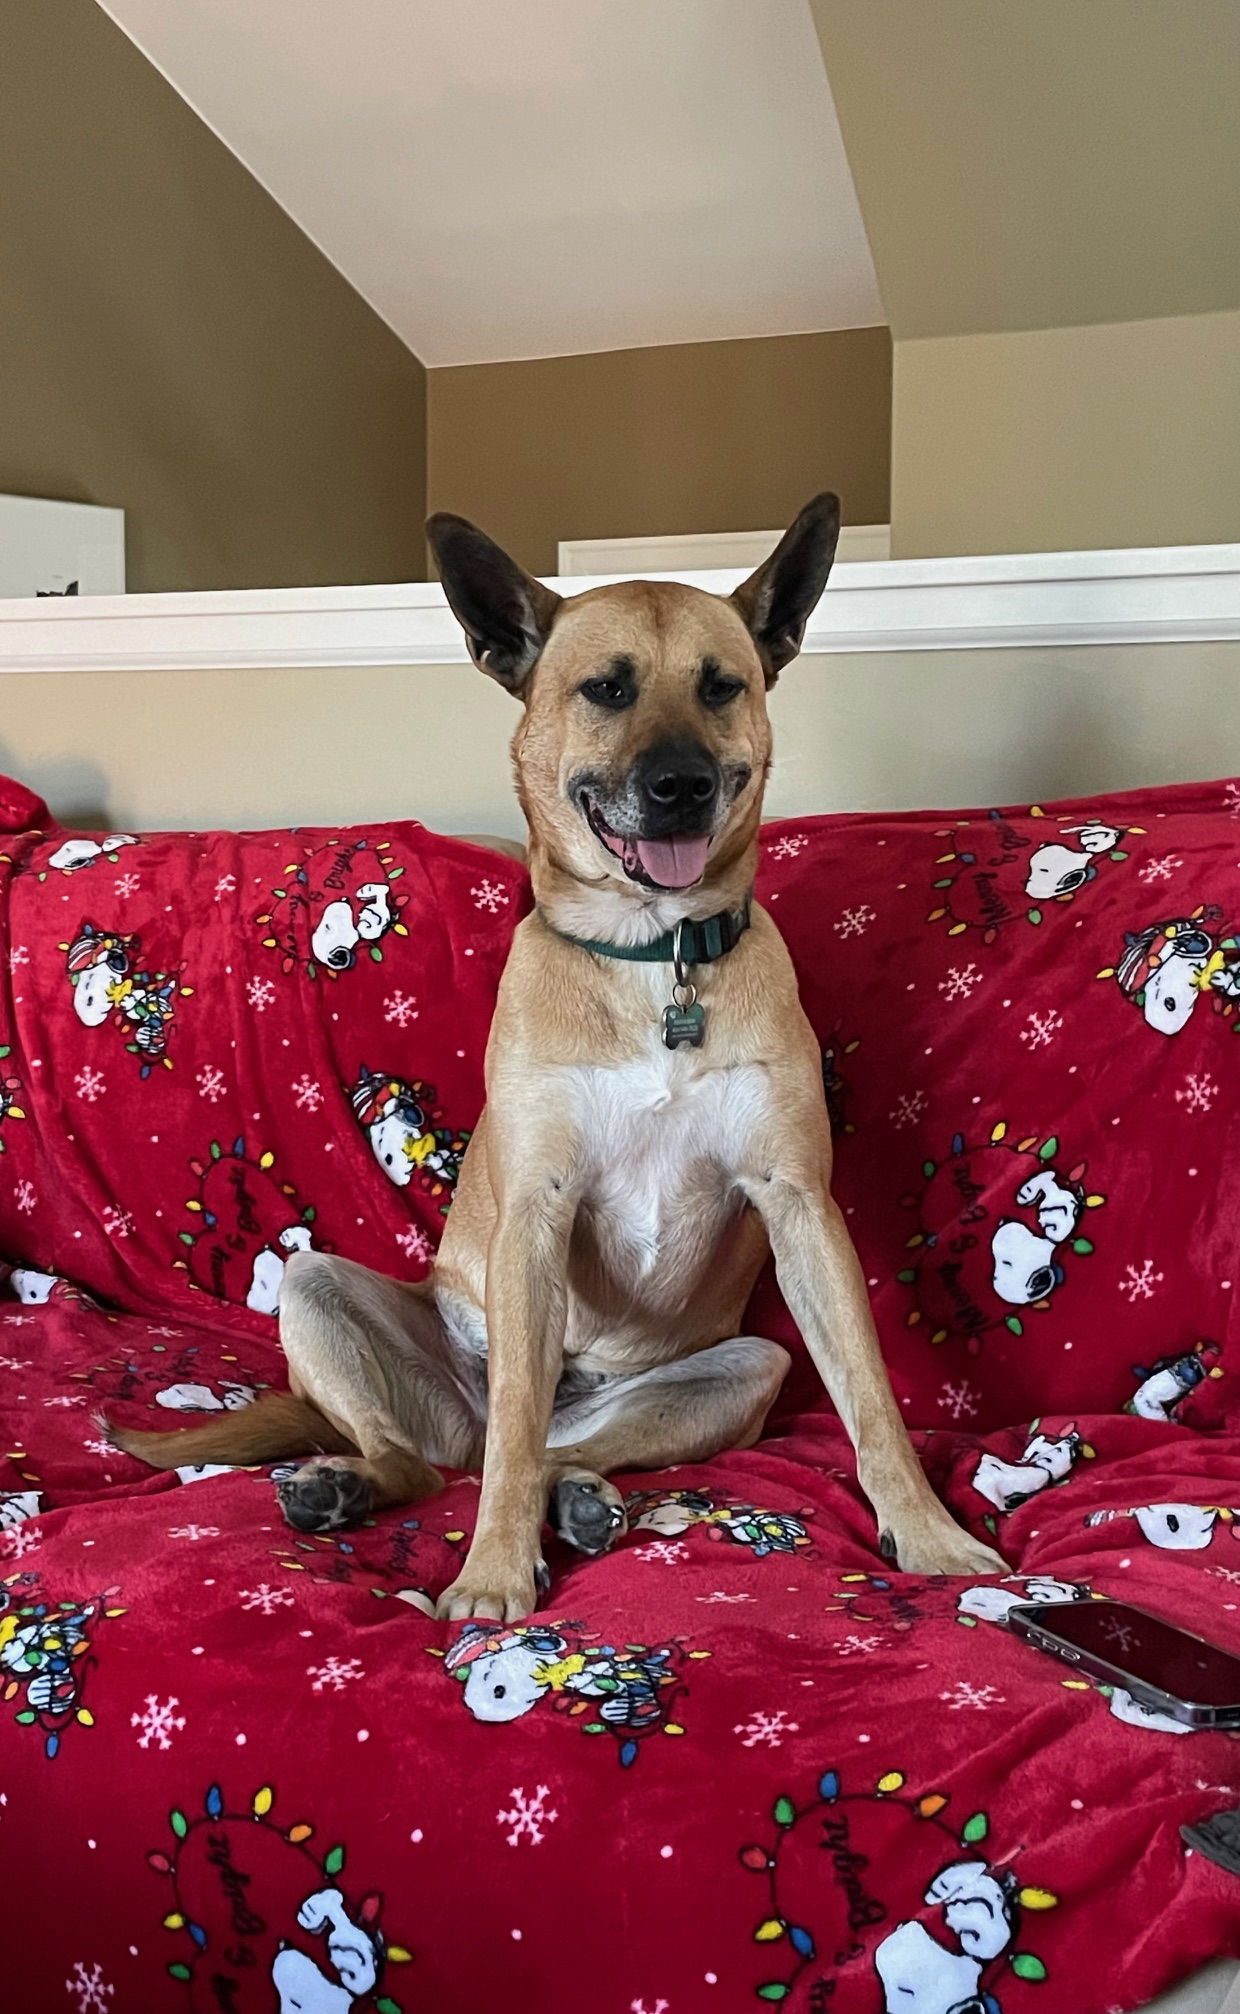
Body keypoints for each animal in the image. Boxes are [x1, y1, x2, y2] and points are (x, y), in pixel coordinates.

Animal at [111, 503, 1006, 1619]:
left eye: (722, 684)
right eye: (608, 688)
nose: (681, 786)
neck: (654, 960)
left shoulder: (800, 1204)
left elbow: (874, 1403)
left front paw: (928, 1533)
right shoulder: (540, 1208)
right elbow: (512, 1434)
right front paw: (492, 1572)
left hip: (747, 1363)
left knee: (553, 1451)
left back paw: (577, 1500)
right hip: (319, 1289)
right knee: (449, 1454)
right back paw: (350, 1485)